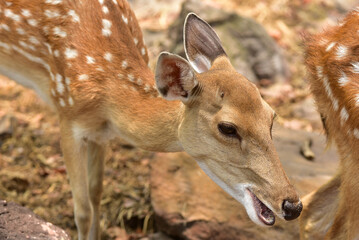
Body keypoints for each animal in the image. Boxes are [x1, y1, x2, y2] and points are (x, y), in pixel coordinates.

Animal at [0, 0, 304, 240]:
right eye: (228, 127)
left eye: (271, 117)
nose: (292, 206)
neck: (106, 96)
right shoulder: (66, 114)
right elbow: (83, 210)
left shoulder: (100, 133)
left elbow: (96, 194)